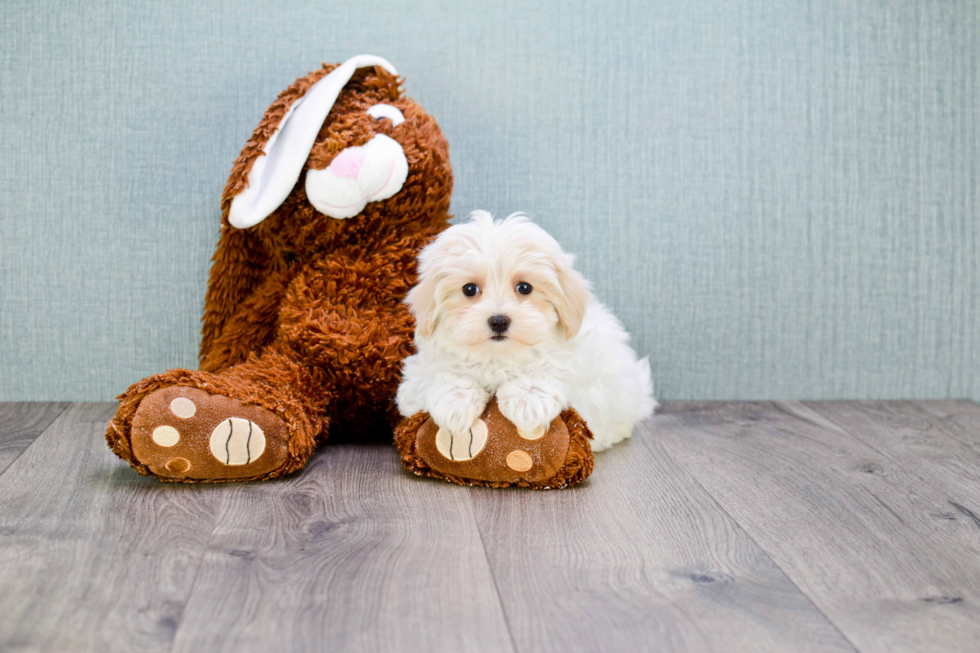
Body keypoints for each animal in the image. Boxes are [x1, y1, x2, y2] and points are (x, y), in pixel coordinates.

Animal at [394, 211, 656, 450]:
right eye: (469, 289)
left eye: (524, 287)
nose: (499, 321)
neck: (498, 358)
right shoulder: (416, 379)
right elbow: (442, 373)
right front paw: (456, 401)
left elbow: (551, 369)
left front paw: (528, 400)